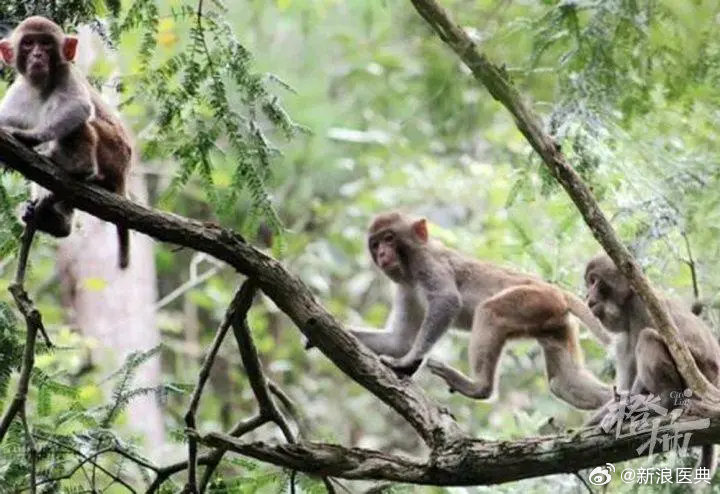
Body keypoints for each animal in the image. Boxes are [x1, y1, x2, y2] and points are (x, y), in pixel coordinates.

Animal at [0, 16, 132, 270]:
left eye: (46, 43)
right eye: (28, 43)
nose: (38, 55)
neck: (39, 86)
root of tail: (124, 173)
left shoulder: (66, 73)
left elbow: (78, 107)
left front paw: (29, 137)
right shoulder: (17, 91)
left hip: (113, 153)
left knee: (78, 119)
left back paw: (81, 168)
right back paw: (58, 223)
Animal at [348, 211, 612, 410]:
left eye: (389, 238)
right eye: (375, 244)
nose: (382, 253)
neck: (410, 269)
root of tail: (555, 290)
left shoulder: (428, 264)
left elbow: (446, 301)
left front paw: (407, 362)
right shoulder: (405, 288)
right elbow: (399, 340)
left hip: (535, 300)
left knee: (490, 312)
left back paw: (479, 388)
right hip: (555, 321)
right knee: (563, 382)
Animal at [584, 256, 720, 468]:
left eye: (595, 281)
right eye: (589, 283)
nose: (587, 295)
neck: (627, 305)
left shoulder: (642, 306)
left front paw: (622, 410)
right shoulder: (623, 334)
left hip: (699, 377)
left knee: (648, 337)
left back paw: (664, 400)